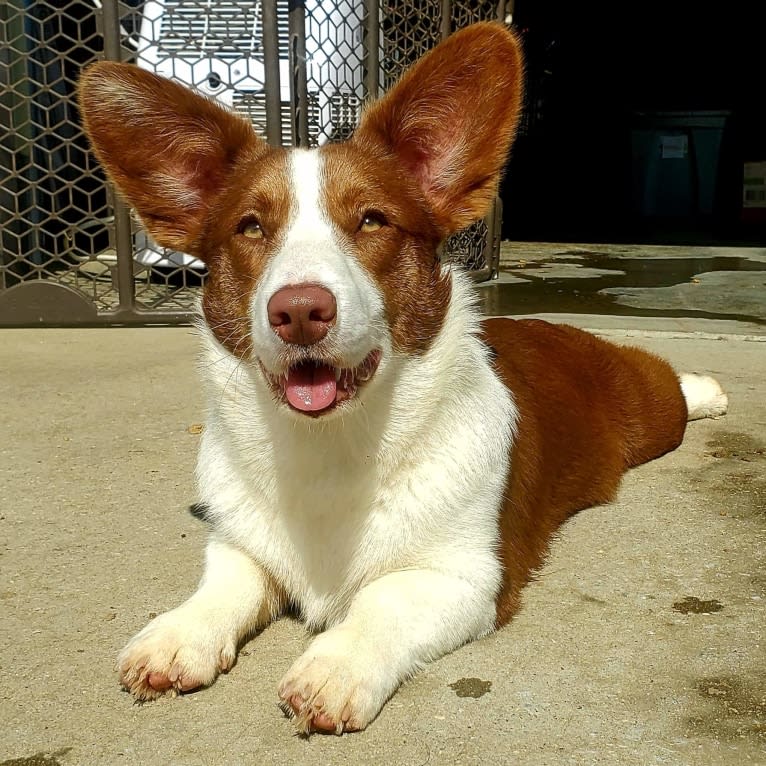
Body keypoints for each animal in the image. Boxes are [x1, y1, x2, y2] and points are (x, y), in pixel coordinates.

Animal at [79, 24, 732, 736]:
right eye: (250, 226)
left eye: (371, 220)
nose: (298, 311)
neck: (331, 445)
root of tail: (553, 327)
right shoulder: (240, 541)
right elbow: (226, 583)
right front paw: (177, 635)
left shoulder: (462, 577)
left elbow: (381, 601)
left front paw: (333, 668)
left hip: (649, 410)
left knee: (666, 381)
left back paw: (708, 390)